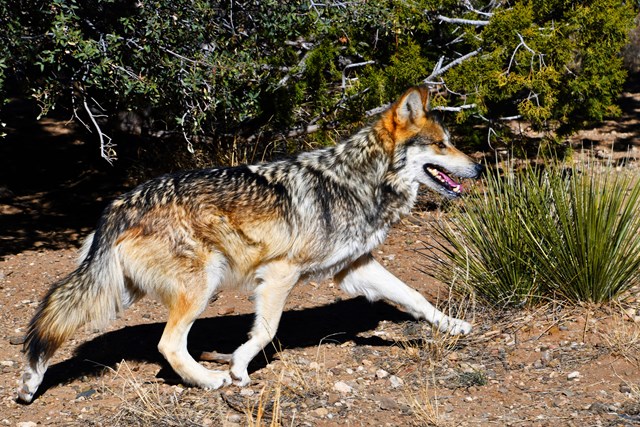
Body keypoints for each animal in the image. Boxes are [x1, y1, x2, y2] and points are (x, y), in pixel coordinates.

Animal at [16, 88, 480, 404]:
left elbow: (414, 297)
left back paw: (30, 382)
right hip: (200, 286)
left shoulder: (354, 268)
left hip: (117, 292)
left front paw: (455, 325)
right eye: (442, 144)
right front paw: (238, 367)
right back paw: (209, 380)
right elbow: (266, 330)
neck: (360, 181)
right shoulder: (280, 273)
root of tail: (118, 204)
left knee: (56, 319)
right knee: (168, 345)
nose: (477, 166)